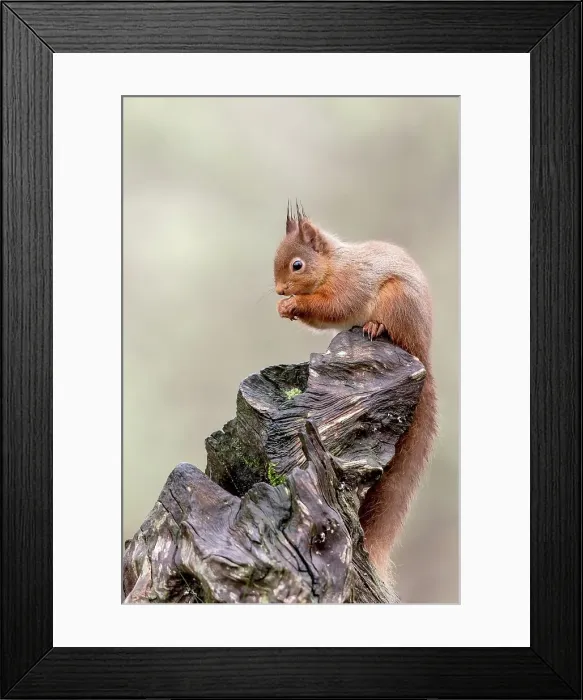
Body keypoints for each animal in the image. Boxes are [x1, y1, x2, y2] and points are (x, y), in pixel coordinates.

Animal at [273, 202, 437, 580]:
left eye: (297, 265)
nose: (279, 290)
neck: (333, 266)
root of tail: (422, 349)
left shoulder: (351, 285)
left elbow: (335, 307)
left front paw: (295, 304)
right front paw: (284, 308)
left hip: (396, 301)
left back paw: (375, 326)